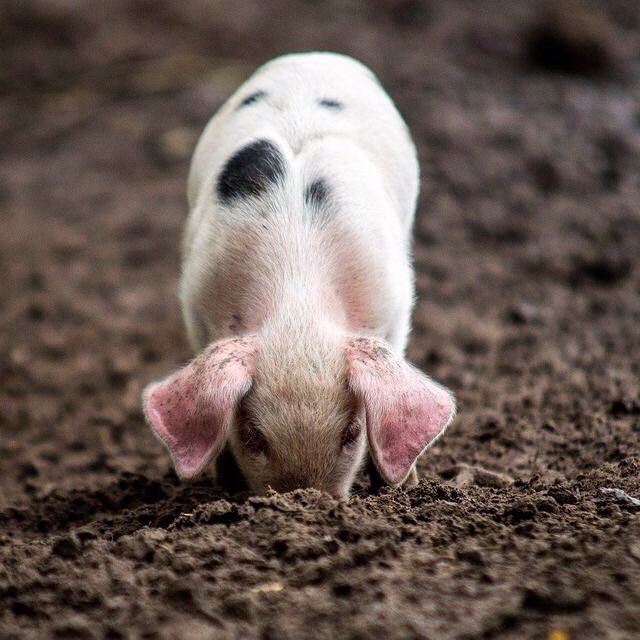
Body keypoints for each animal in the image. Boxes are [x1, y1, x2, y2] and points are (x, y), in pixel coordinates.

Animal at [142, 52, 456, 498]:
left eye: (352, 432)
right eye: (253, 435)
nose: (306, 499)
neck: (297, 299)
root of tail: (313, 55)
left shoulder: (395, 309)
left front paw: (401, 487)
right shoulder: (197, 306)